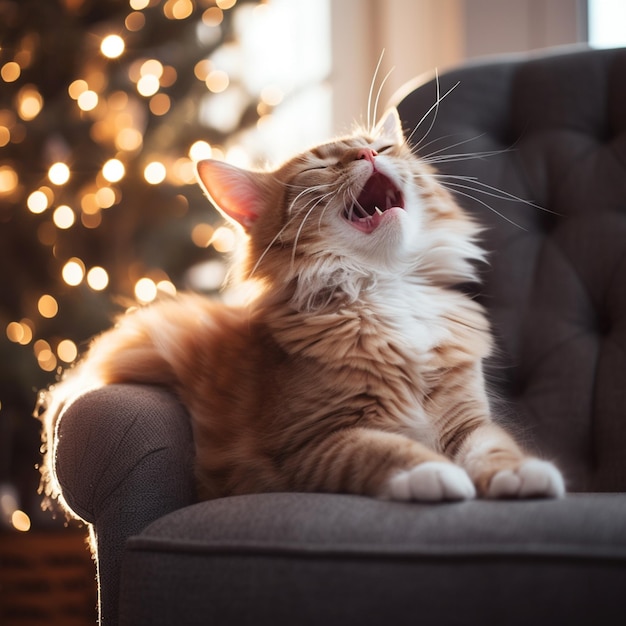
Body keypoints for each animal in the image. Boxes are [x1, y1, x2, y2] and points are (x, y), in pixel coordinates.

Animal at [40, 108, 564, 508]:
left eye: (381, 147)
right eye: (321, 167)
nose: (368, 155)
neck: (385, 286)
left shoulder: (467, 420)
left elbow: (494, 448)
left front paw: (521, 474)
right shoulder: (314, 440)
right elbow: (383, 451)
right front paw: (431, 475)